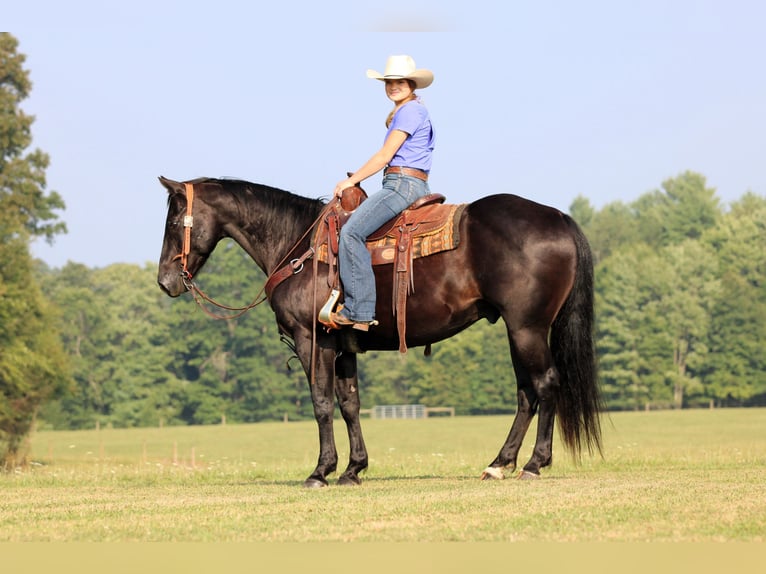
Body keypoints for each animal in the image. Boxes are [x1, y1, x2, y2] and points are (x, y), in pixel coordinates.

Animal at [157, 176, 602, 487]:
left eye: (175, 219)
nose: (165, 281)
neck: (299, 247)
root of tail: (558, 217)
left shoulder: (312, 341)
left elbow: (321, 403)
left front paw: (321, 470)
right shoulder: (343, 346)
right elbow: (349, 404)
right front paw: (353, 469)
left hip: (527, 328)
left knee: (545, 385)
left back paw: (533, 464)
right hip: (518, 330)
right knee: (526, 393)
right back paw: (499, 464)